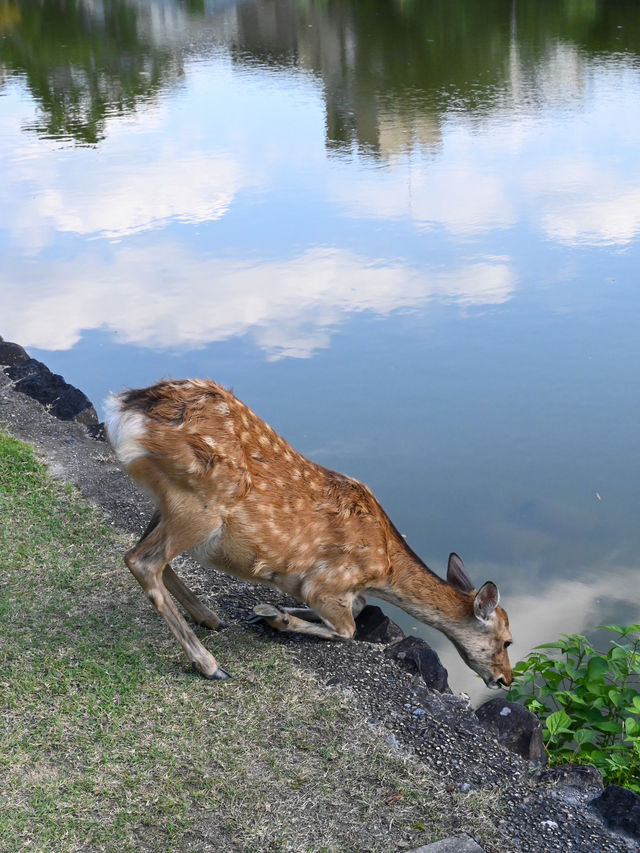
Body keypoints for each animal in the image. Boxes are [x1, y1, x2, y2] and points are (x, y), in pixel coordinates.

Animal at [106, 380, 516, 684]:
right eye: (508, 641)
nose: (505, 679)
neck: (382, 570)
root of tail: (125, 408)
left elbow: (359, 608)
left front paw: (270, 611)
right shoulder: (328, 583)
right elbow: (348, 628)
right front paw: (276, 616)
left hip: (170, 501)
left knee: (149, 553)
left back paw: (210, 617)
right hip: (201, 506)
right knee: (142, 560)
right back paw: (210, 665)